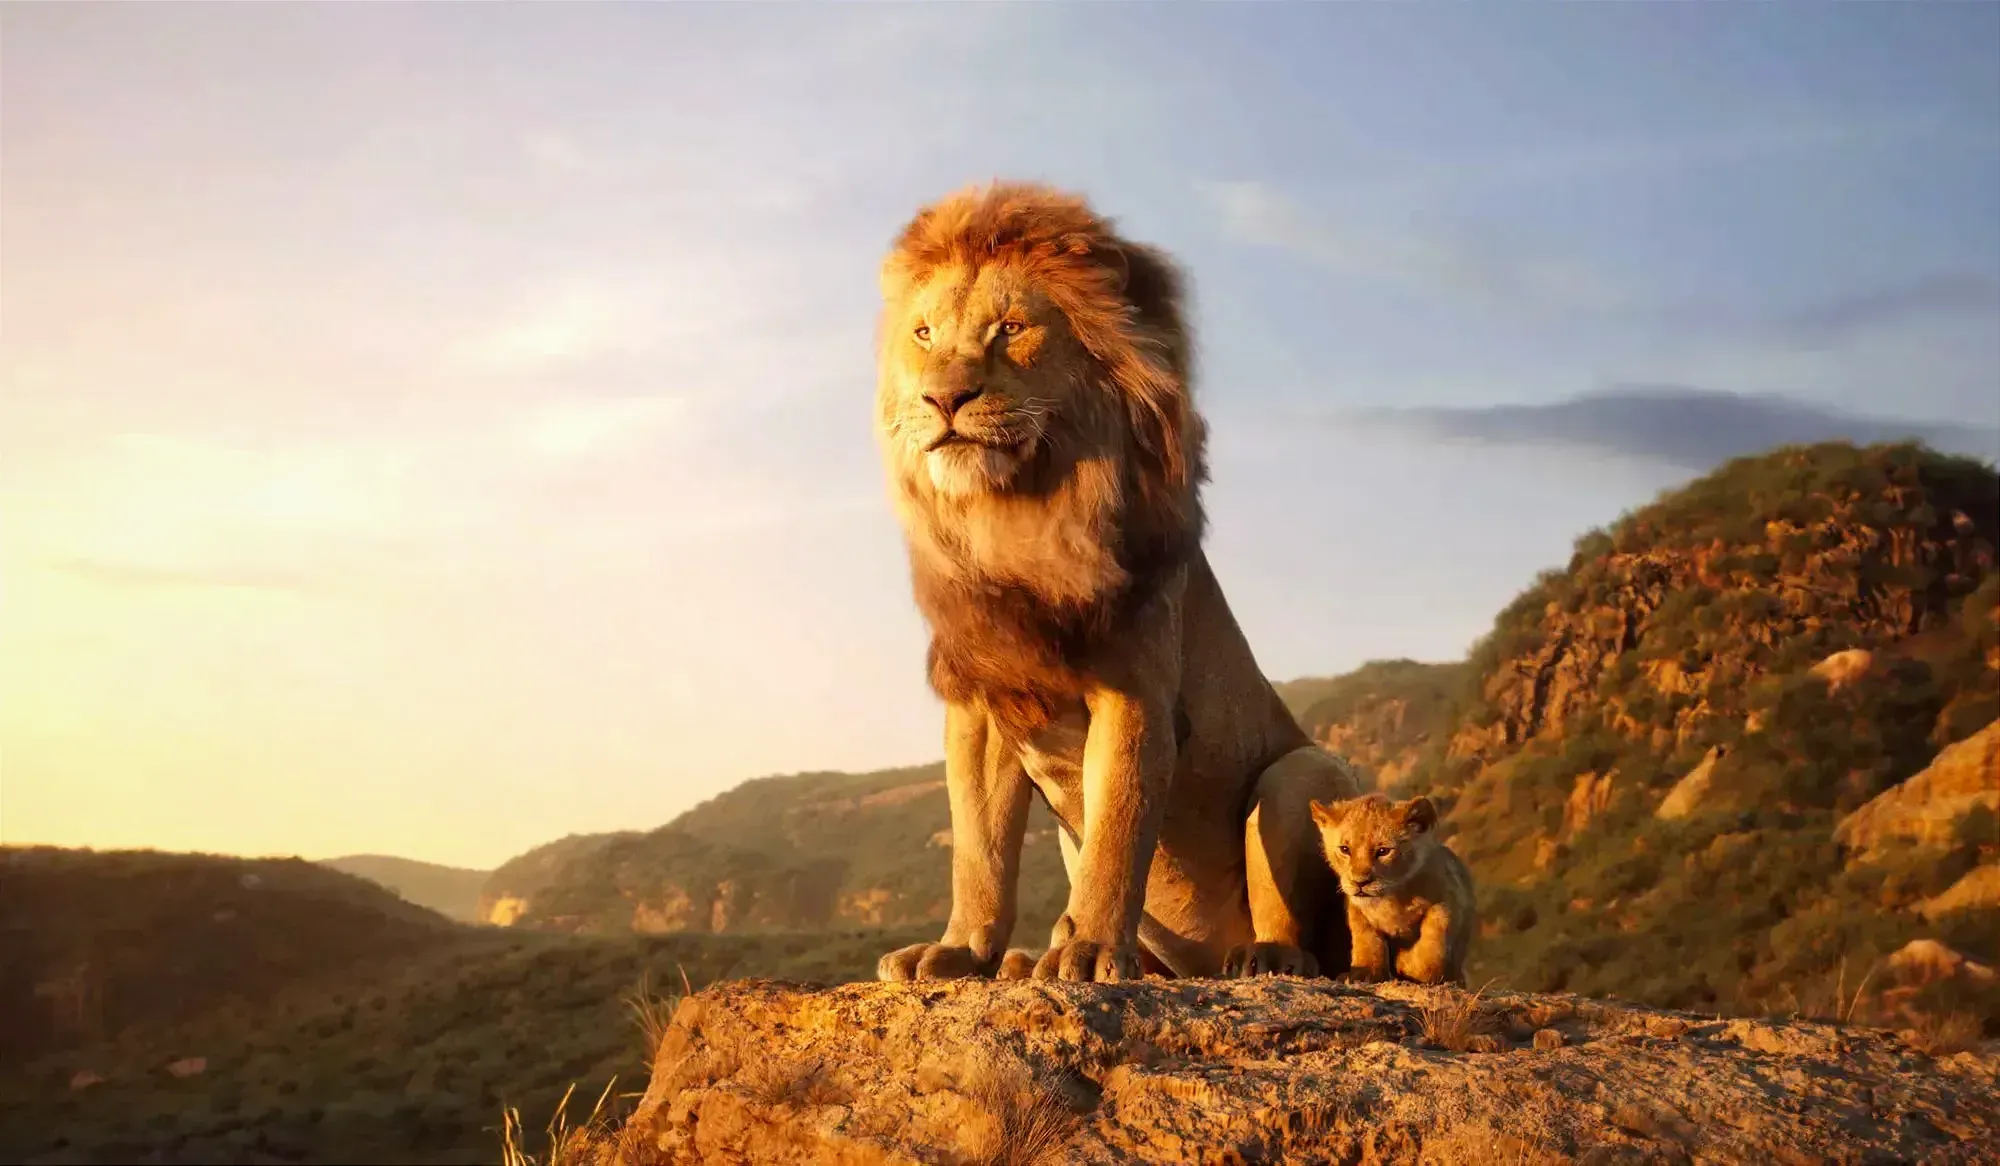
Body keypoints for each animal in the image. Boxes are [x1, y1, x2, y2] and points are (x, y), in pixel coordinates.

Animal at [869, 181, 1367, 983]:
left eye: (1011, 328)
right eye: (923, 334)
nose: (942, 399)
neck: (1017, 518)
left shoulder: (1134, 692)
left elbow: (1117, 831)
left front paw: (1093, 951)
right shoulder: (982, 703)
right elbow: (979, 850)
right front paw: (961, 951)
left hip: (1301, 772)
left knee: (1304, 934)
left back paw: (1261, 957)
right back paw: (1025, 961)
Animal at [1310, 794, 1476, 986]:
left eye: (1383, 851)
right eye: (1345, 849)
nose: (1360, 882)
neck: (1391, 897)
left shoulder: (1450, 896)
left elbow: (1434, 934)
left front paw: (1409, 964)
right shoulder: (1357, 909)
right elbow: (1367, 939)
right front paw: (1364, 973)